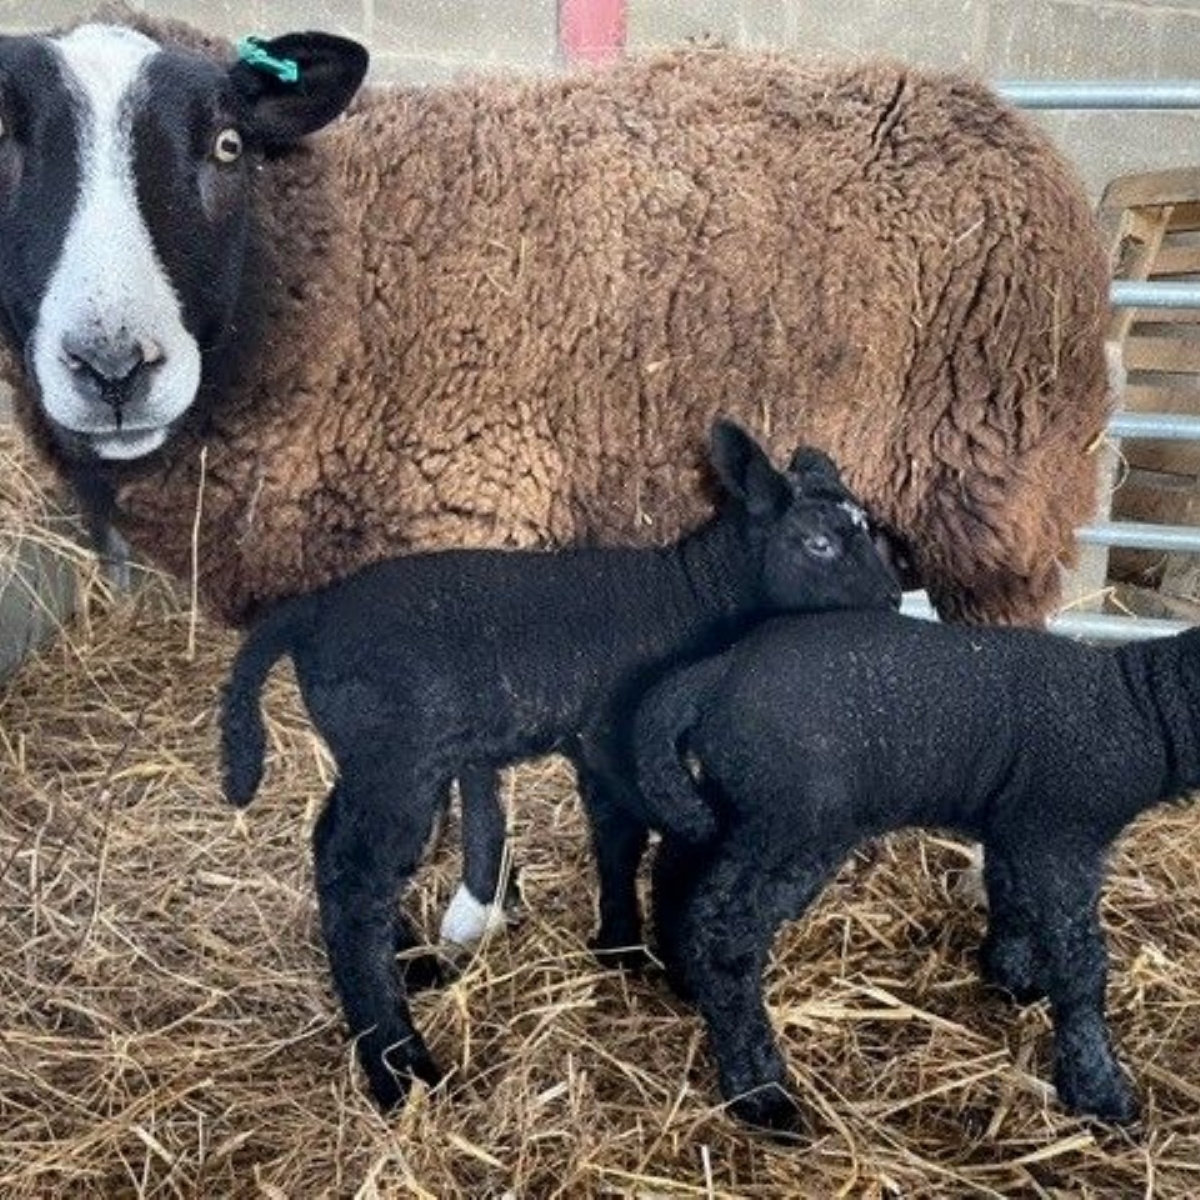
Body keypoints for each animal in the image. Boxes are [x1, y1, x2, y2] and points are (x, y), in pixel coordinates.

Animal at [218, 421, 902, 1109]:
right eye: (817, 543)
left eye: (870, 531)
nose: (894, 601)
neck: (690, 597)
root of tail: (309, 615)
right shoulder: (620, 732)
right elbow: (661, 837)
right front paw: (668, 961)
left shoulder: (592, 739)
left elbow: (617, 835)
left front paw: (620, 947)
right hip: (397, 758)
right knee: (355, 880)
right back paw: (401, 1069)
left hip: (369, 758)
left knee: (336, 848)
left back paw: (412, 967)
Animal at [627, 609, 1200, 1133]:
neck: (1142, 707)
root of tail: (717, 673)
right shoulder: (1060, 836)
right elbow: (1081, 964)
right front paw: (1100, 1092)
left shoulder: (1017, 828)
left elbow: (1010, 896)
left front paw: (1009, 976)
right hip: (800, 818)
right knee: (727, 935)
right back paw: (760, 1092)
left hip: (738, 805)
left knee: (681, 867)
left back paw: (687, 982)